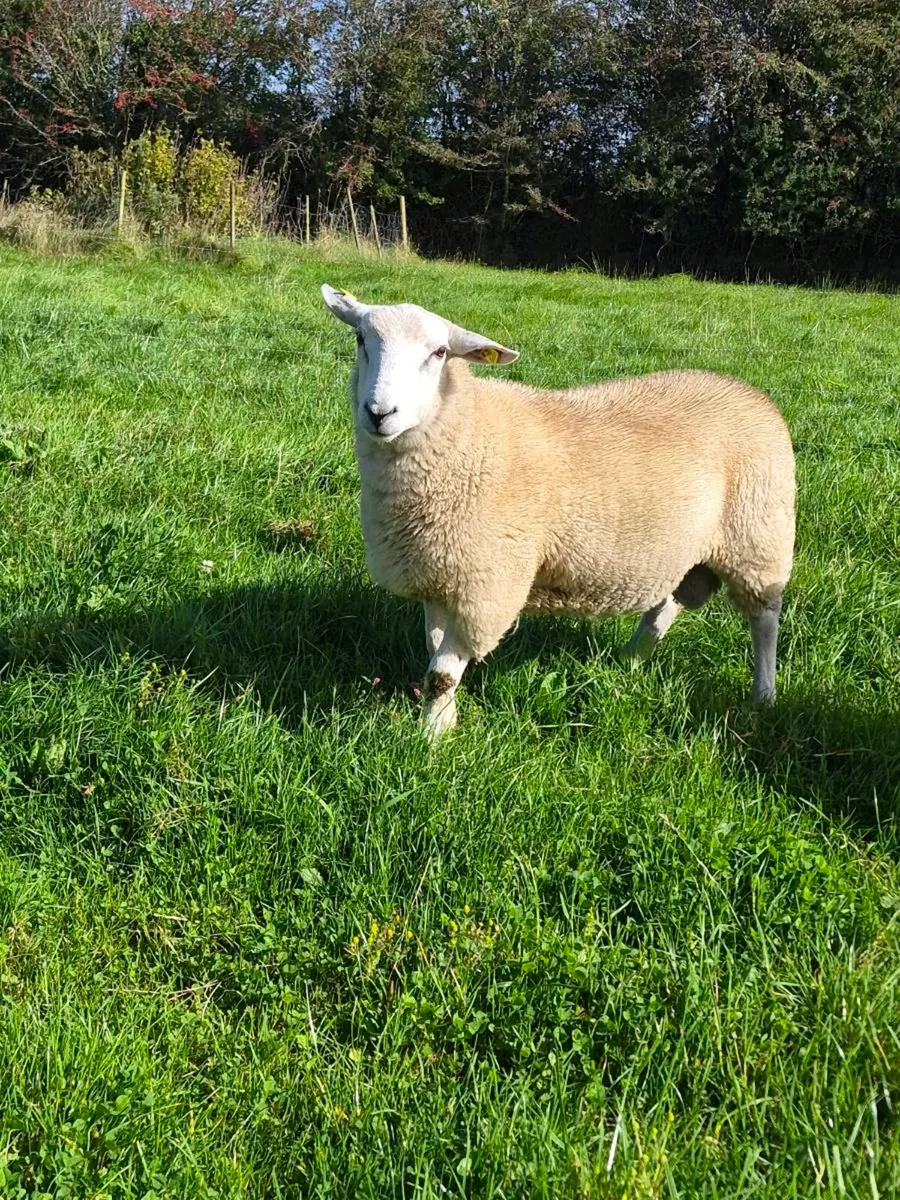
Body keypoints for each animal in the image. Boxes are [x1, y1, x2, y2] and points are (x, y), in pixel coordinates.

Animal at [321, 284, 795, 736]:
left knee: (764, 620)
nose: (380, 412)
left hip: (759, 539)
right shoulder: (438, 576)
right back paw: (632, 660)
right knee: (665, 606)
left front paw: (431, 739)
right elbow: (434, 655)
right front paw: (445, 720)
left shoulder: (485, 588)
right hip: (683, 546)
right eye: (361, 338)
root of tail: (751, 392)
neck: (468, 434)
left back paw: (765, 694)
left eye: (438, 353)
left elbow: (440, 674)